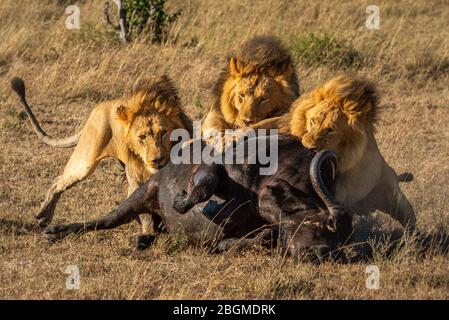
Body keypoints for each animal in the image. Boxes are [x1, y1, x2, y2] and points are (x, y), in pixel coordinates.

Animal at [11, 76, 191, 246]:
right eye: (142, 137)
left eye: (163, 132)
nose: (157, 160)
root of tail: (102, 105)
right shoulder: (135, 177)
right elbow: (145, 214)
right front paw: (148, 234)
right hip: (86, 160)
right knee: (59, 180)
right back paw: (44, 215)